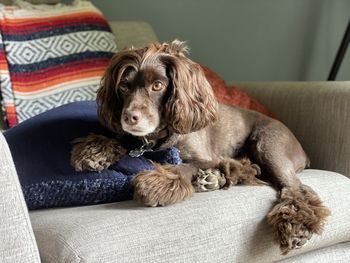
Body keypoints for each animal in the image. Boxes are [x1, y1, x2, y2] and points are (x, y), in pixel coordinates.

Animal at [69, 40, 330, 255]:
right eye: (123, 87)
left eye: (157, 85)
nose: (129, 117)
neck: (158, 137)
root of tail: (303, 151)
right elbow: (123, 140)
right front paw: (95, 150)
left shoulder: (206, 156)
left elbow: (184, 166)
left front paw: (157, 183)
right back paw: (214, 179)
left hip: (268, 143)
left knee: (296, 188)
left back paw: (295, 226)